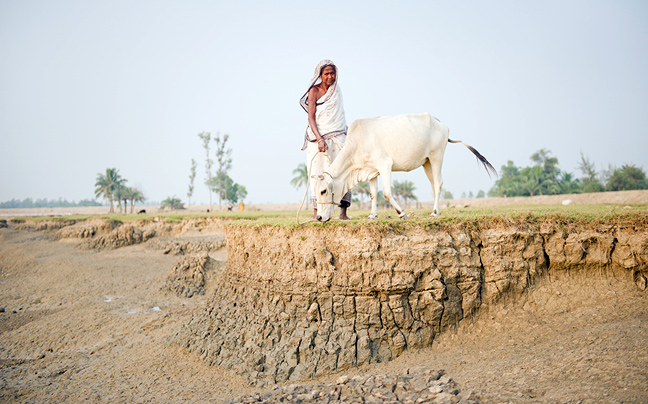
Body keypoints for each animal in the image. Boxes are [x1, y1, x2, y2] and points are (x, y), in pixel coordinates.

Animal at [312, 112, 494, 223]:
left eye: (323, 191)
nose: (319, 217)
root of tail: (439, 122)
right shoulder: (372, 172)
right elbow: (372, 194)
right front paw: (372, 215)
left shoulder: (385, 165)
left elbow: (386, 192)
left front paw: (401, 213)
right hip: (427, 162)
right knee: (434, 184)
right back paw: (437, 211)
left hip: (437, 157)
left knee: (438, 184)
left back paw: (434, 212)